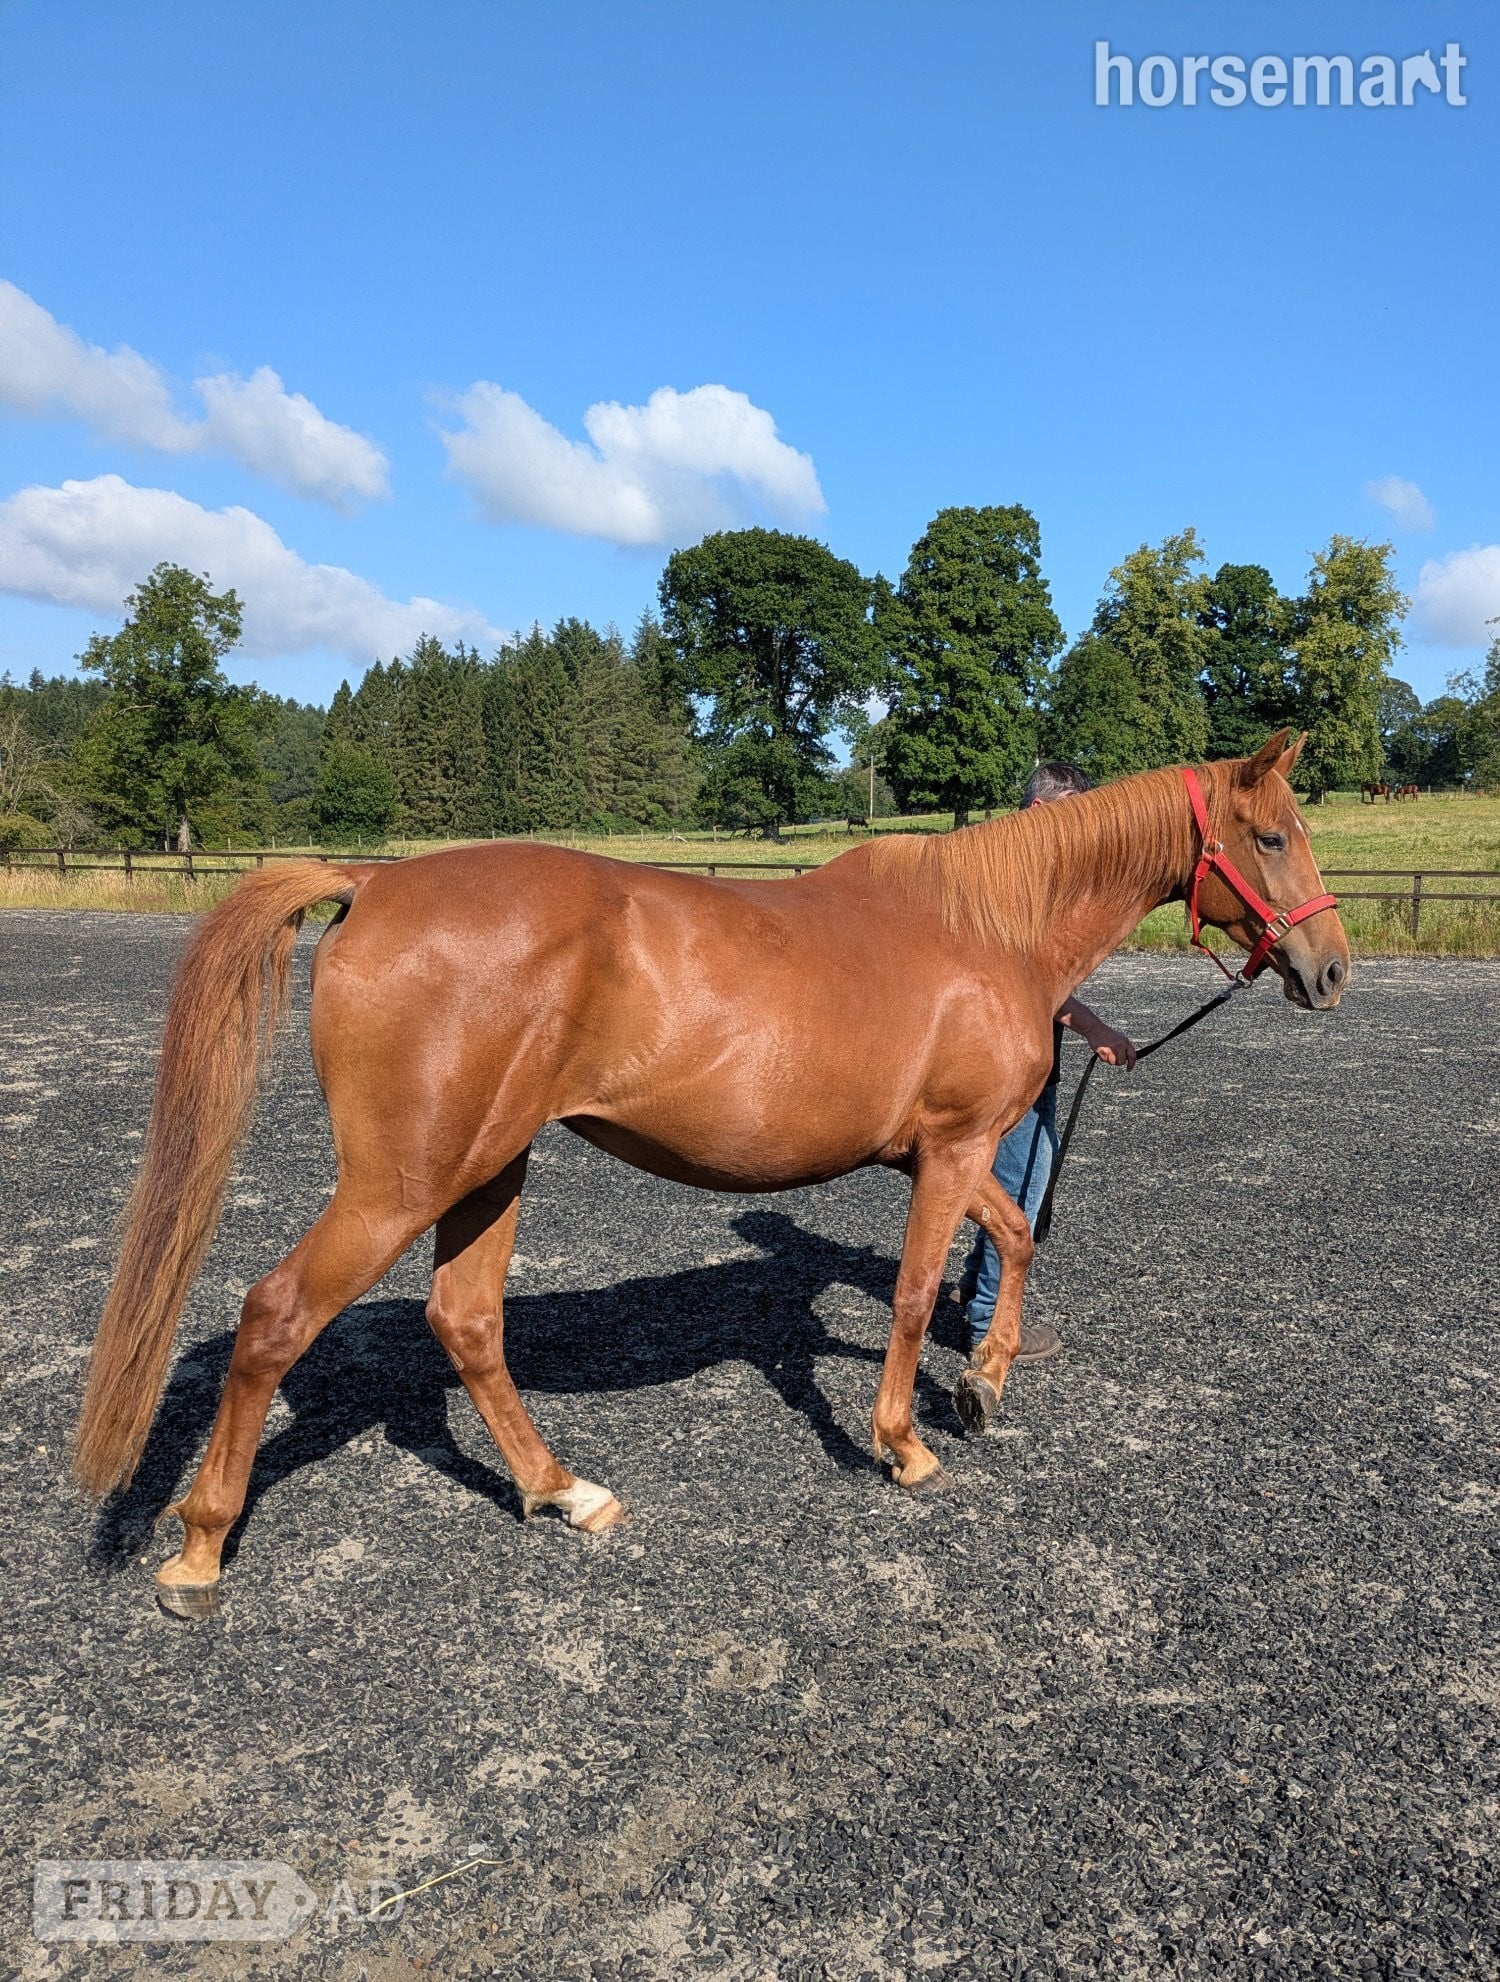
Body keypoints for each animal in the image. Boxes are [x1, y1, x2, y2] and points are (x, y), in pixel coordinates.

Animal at [73, 731, 1348, 1617]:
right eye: (1272, 835)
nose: (1331, 968)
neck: (988, 926)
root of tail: (375, 884)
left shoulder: (949, 1148)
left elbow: (1018, 1235)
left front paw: (984, 1378)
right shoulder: (949, 1147)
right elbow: (911, 1292)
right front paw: (905, 1442)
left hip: (487, 1167)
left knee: (466, 1320)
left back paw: (563, 1489)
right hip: (403, 1181)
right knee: (278, 1313)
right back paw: (199, 1552)